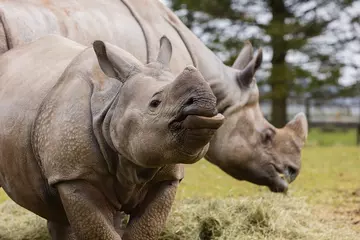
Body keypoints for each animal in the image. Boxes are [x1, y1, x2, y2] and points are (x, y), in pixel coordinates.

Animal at [0, 35, 225, 240]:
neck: (113, 100)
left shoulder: (167, 176)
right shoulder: (74, 173)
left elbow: (144, 230)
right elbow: (100, 231)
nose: (205, 106)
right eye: (155, 103)